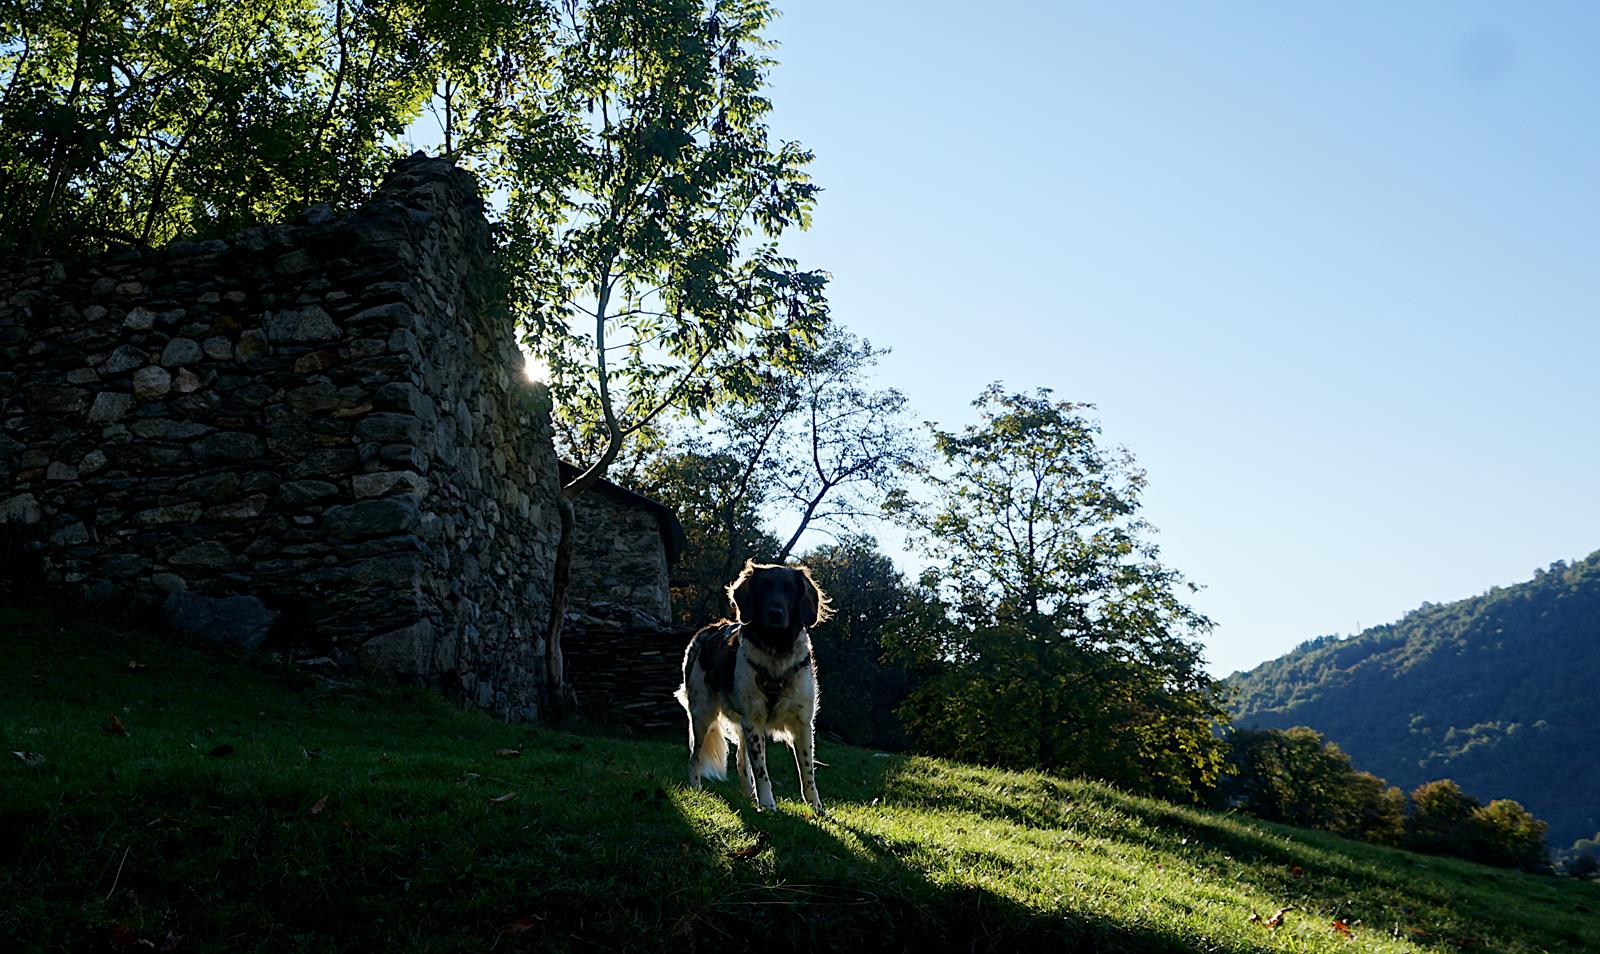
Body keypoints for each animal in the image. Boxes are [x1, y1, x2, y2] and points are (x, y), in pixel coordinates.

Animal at [672, 560, 832, 813]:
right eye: (764, 587)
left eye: (789, 589)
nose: (775, 613)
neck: (776, 649)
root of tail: (706, 630)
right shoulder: (754, 721)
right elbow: (761, 770)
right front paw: (767, 804)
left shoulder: (802, 723)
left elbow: (807, 771)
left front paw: (816, 807)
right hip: (702, 715)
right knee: (694, 756)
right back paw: (696, 788)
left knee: (739, 759)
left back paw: (748, 795)